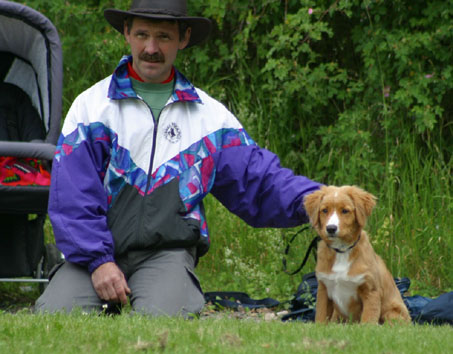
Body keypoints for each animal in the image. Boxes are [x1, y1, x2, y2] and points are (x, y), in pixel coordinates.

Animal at [302, 185, 412, 324]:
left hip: (393, 313)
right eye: (324, 210)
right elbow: (321, 317)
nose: (331, 228)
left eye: (345, 211)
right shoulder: (323, 289)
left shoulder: (371, 290)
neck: (342, 251)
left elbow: (368, 320)